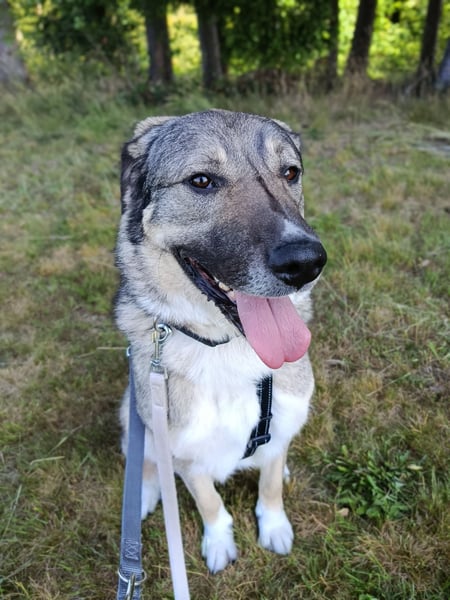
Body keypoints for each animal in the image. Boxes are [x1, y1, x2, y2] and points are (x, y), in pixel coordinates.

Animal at [115, 109, 327, 573]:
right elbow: (209, 502)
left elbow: (270, 484)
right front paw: (219, 543)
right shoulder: (183, 451)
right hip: (134, 411)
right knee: (146, 461)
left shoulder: (280, 426)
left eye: (290, 172)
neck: (229, 348)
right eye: (201, 181)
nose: (306, 263)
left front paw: (274, 524)